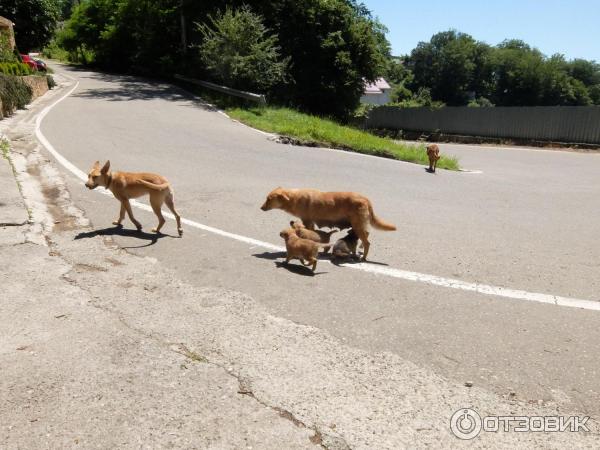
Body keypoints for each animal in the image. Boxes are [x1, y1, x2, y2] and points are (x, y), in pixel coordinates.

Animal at [262, 189, 394, 260]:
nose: (261, 208)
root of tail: (366, 199)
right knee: (367, 234)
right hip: (359, 225)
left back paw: (363, 257)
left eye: (269, 199)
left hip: (357, 225)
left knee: (367, 242)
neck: (295, 198)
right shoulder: (310, 222)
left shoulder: (307, 221)